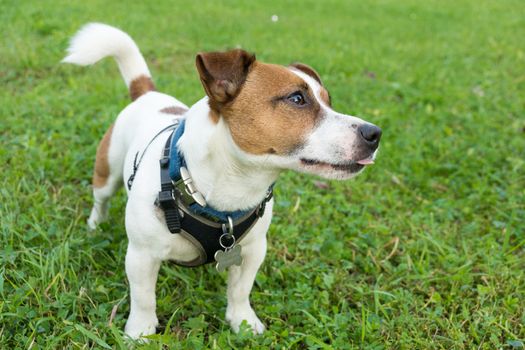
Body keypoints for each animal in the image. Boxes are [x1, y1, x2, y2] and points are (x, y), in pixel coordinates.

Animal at [62, 22, 380, 340]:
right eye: (297, 99)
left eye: (329, 101)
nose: (374, 134)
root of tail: (147, 93)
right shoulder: (141, 256)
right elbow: (143, 297)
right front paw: (140, 331)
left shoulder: (252, 251)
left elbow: (240, 290)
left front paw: (242, 321)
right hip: (107, 172)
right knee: (101, 200)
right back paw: (94, 226)